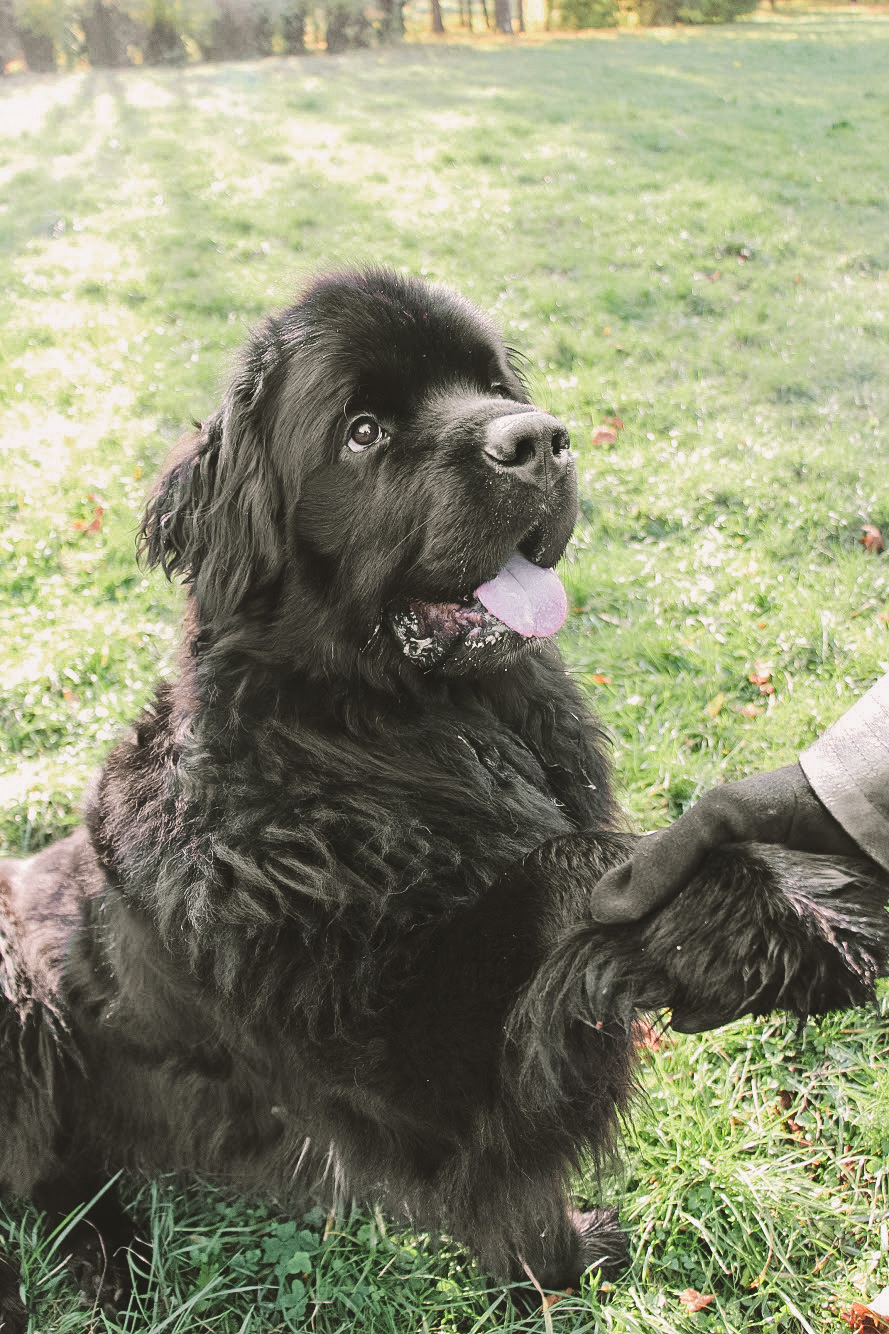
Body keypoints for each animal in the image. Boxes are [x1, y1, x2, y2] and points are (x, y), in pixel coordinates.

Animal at [1, 268, 886, 1323]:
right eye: (363, 431)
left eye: (490, 383)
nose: (539, 438)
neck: (401, 737)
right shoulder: (405, 1094)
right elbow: (564, 873)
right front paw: (766, 919)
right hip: (19, 1001)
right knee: (43, 1180)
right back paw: (107, 1256)